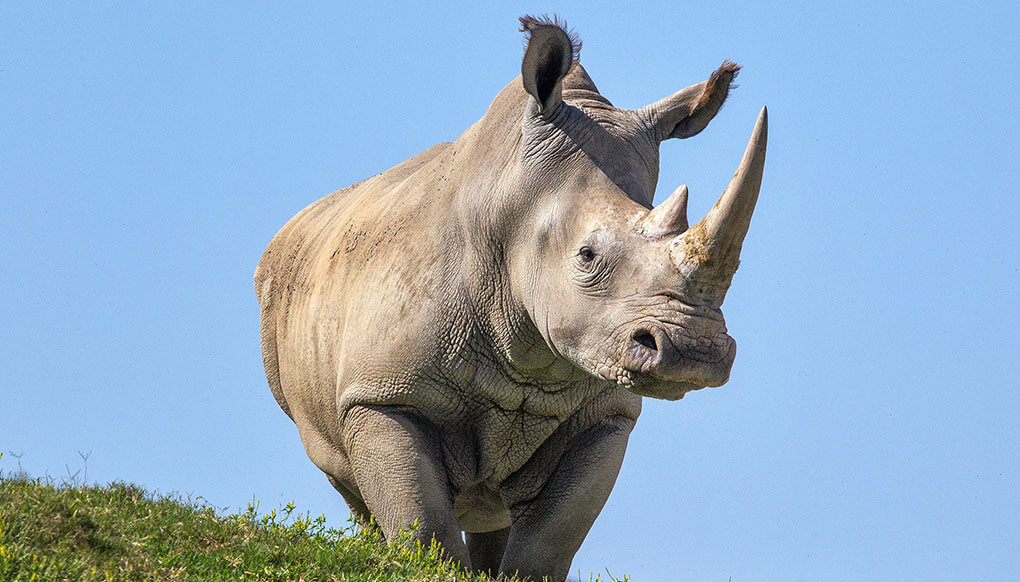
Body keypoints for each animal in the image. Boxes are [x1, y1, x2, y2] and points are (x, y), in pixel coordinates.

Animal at [255, 16, 767, 581]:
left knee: (489, 505)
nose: (694, 353)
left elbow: (548, 542)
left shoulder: (606, 416)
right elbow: (423, 526)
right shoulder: (381, 394)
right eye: (587, 255)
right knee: (350, 483)